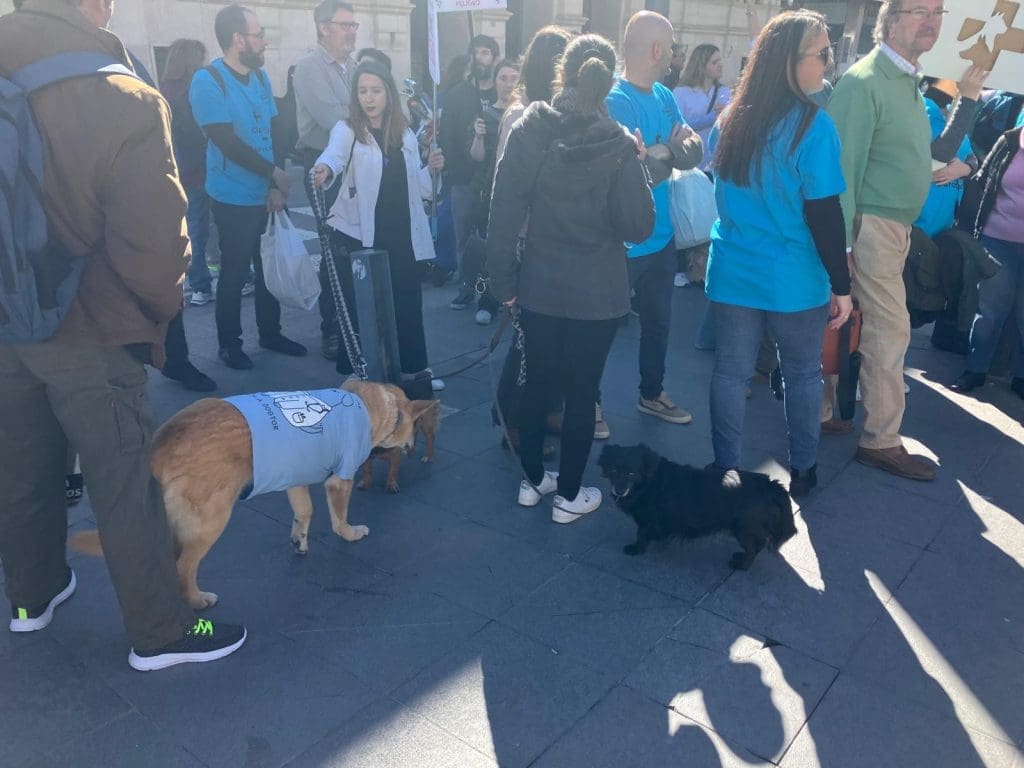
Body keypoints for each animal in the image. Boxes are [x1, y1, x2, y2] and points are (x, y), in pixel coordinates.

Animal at [72, 380, 438, 610]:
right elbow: (339, 520)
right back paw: (197, 601)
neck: (369, 404)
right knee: (184, 567)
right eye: (412, 429)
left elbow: (304, 512)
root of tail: (161, 442)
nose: (411, 447)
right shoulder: (339, 482)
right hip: (212, 519)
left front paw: (299, 540)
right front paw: (351, 533)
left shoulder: (295, 479)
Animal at [598, 443, 797, 570]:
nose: (619, 490)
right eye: (613, 470)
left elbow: (642, 535)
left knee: (754, 548)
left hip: (744, 528)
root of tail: (771, 485)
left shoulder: (647, 520)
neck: (649, 482)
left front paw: (636, 549)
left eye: (632, 473)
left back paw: (741, 565)